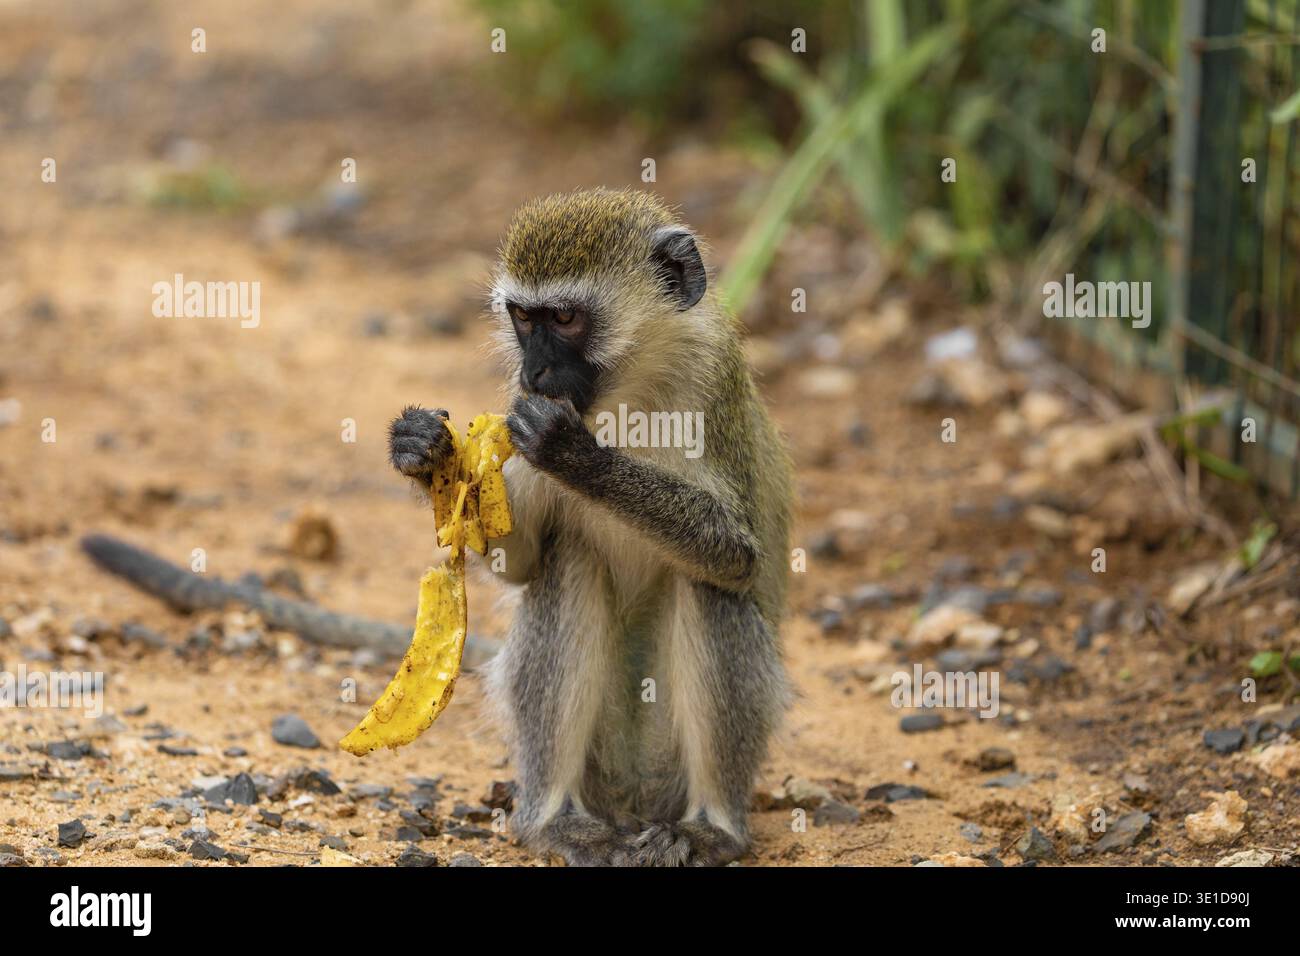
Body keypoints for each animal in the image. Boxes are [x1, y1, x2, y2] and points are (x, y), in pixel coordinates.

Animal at [389, 188, 793, 866]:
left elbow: (736, 554)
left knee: (708, 587)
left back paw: (712, 828)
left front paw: (574, 454)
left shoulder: (714, 385)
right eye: (524, 319)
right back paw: (555, 821)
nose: (534, 374)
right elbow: (523, 561)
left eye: (566, 319)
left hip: (664, 759)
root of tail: (634, 798)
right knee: (568, 562)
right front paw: (428, 453)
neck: (629, 389)